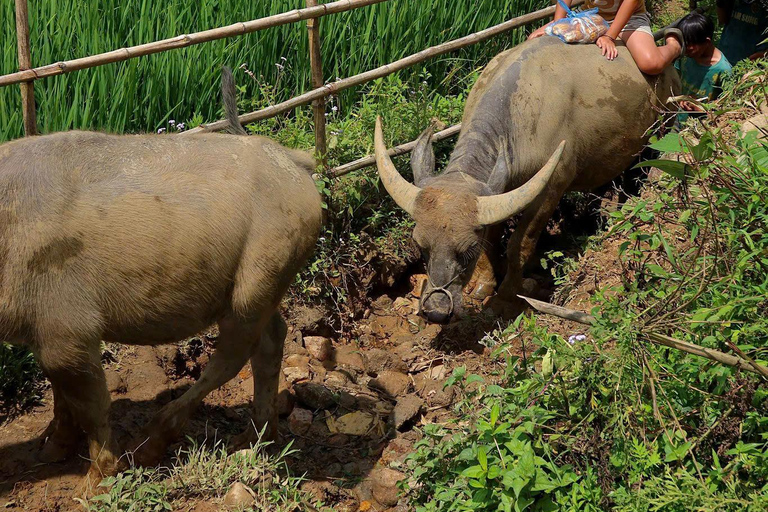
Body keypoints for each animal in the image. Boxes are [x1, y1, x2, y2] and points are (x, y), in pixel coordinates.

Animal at [0, 68, 320, 488]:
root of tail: (290, 160)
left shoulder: (68, 335)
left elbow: (91, 405)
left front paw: (95, 480)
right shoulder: (46, 333)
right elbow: (61, 396)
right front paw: (53, 449)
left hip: (256, 282)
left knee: (234, 352)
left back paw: (155, 439)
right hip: (265, 286)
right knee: (271, 339)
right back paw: (256, 436)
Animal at [376, 37, 680, 324]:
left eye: (467, 249)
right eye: (420, 245)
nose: (437, 312)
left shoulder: (551, 187)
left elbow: (519, 244)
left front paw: (508, 295)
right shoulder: (499, 193)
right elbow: (492, 240)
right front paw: (485, 285)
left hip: (657, 134)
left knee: (635, 177)